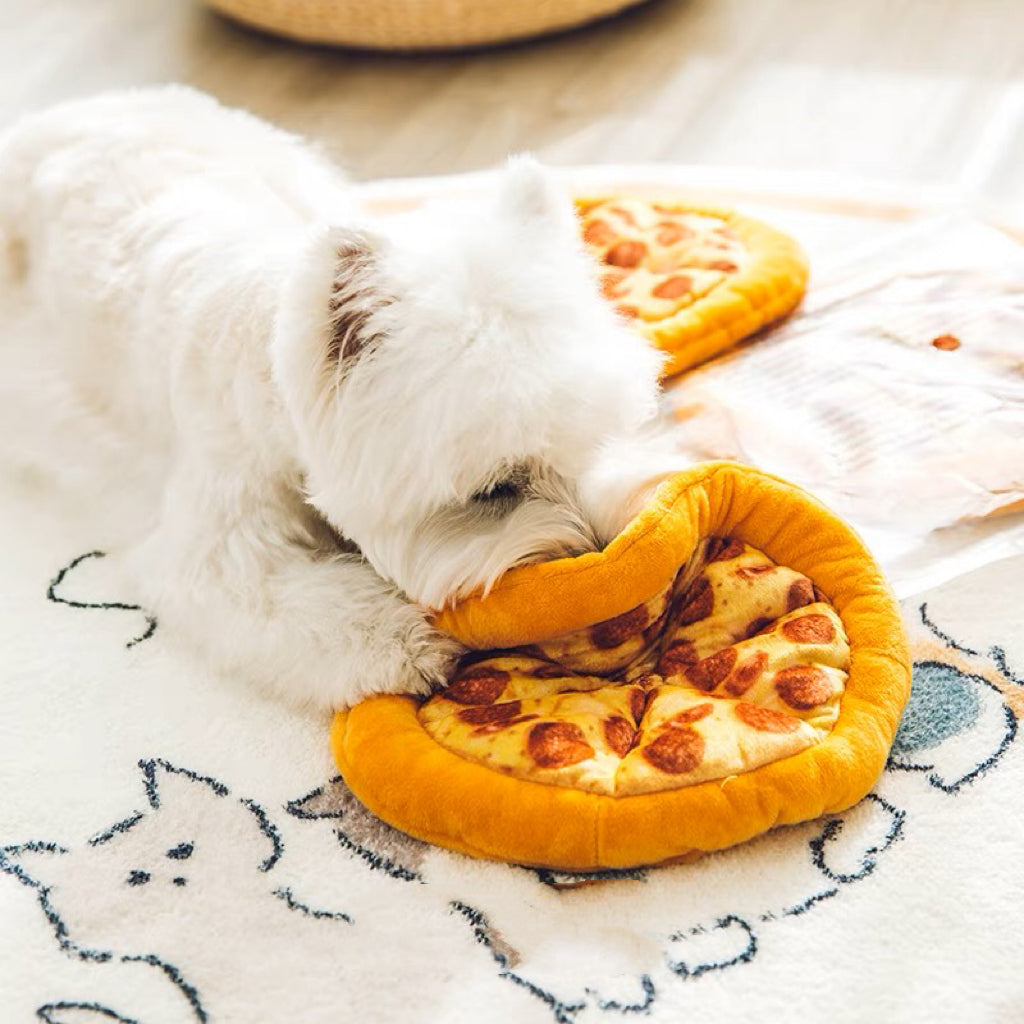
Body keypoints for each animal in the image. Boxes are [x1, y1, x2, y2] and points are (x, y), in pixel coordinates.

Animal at [0, 88, 671, 708]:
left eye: (594, 441)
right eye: (493, 491)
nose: (603, 550)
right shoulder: (216, 548)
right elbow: (294, 601)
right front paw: (408, 646)